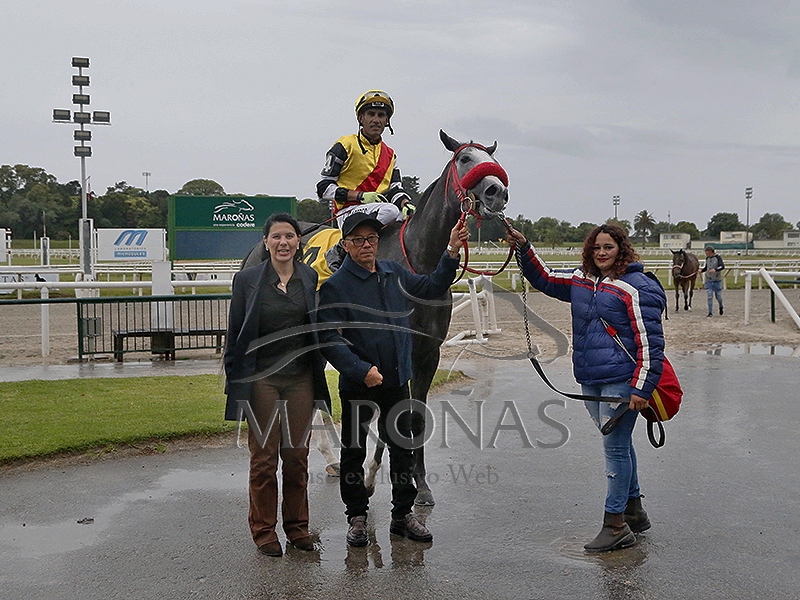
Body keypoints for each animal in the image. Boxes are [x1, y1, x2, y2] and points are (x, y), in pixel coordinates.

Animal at [240, 129, 509, 506]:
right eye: (464, 159)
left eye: (493, 160)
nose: (497, 191)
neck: (417, 265)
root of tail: (256, 248)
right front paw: (370, 476)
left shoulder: (426, 353)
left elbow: (414, 415)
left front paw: (418, 482)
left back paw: (331, 457)